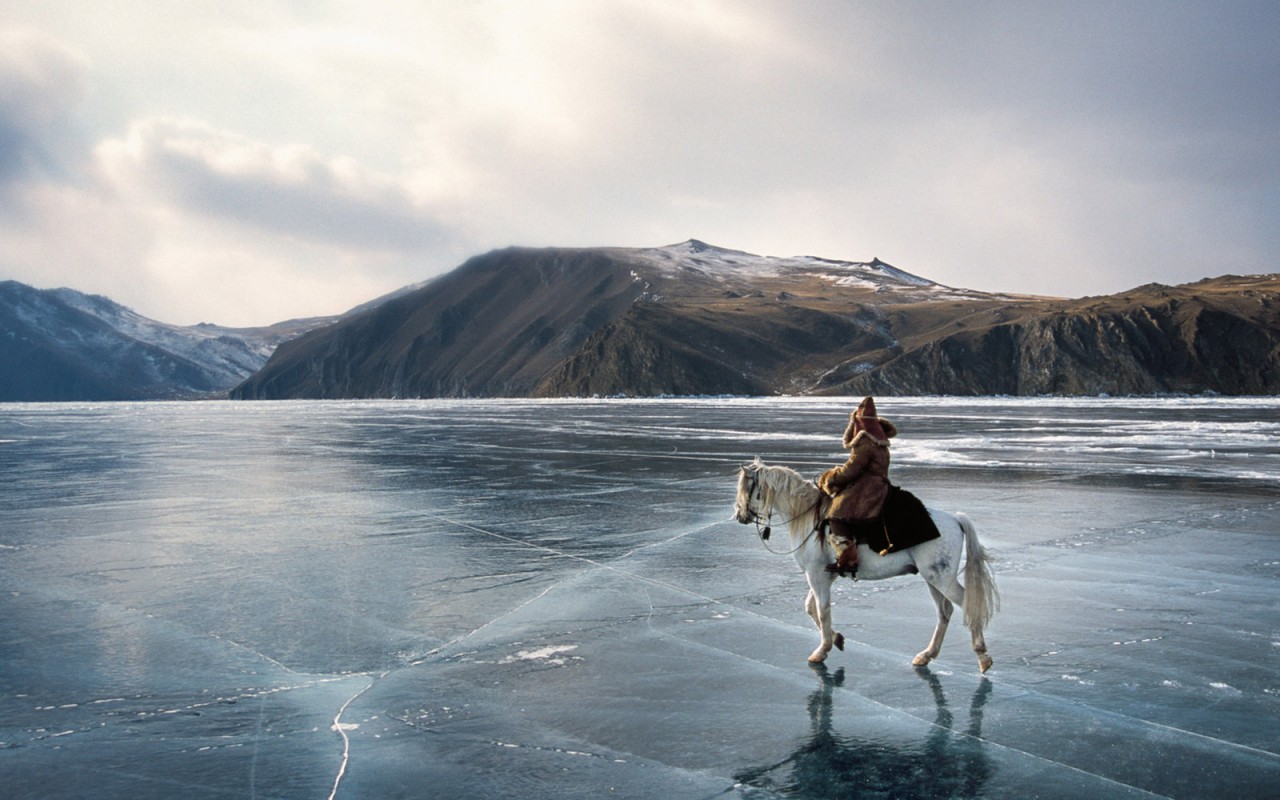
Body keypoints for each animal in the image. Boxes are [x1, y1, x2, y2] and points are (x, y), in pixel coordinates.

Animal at [732, 458, 998, 670]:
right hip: (932, 578)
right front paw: (837, 639)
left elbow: (822, 610)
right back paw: (926, 655)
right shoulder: (822, 575)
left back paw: (982, 657)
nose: (739, 516)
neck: (809, 517)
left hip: (940, 578)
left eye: (746, 489)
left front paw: (822, 650)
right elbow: (811, 608)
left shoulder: (816, 575)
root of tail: (956, 519)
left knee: (966, 604)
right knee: (945, 611)